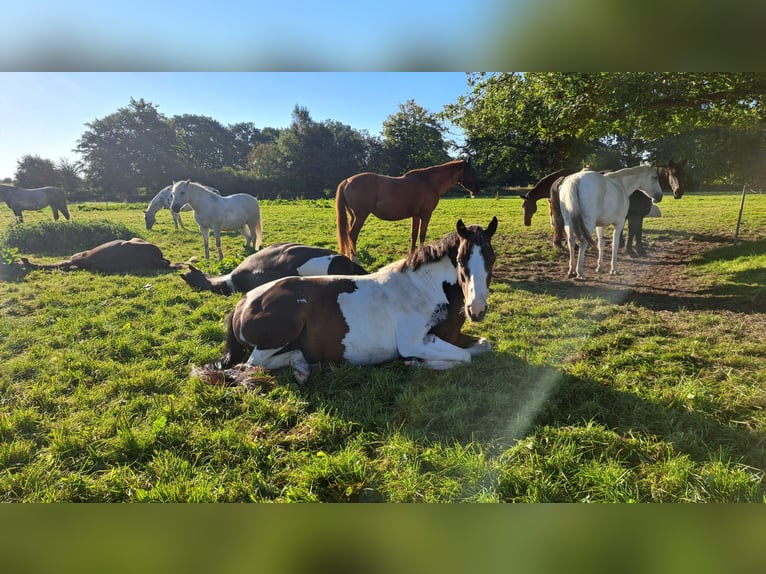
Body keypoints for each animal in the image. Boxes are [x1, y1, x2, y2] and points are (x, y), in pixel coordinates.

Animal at [335, 159, 480, 260]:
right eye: (472, 172)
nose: (477, 189)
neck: (429, 182)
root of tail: (348, 181)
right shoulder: (426, 214)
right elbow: (422, 234)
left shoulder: (415, 216)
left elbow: (414, 235)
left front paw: (413, 254)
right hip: (361, 216)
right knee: (352, 234)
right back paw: (355, 258)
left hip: (353, 216)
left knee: (348, 234)